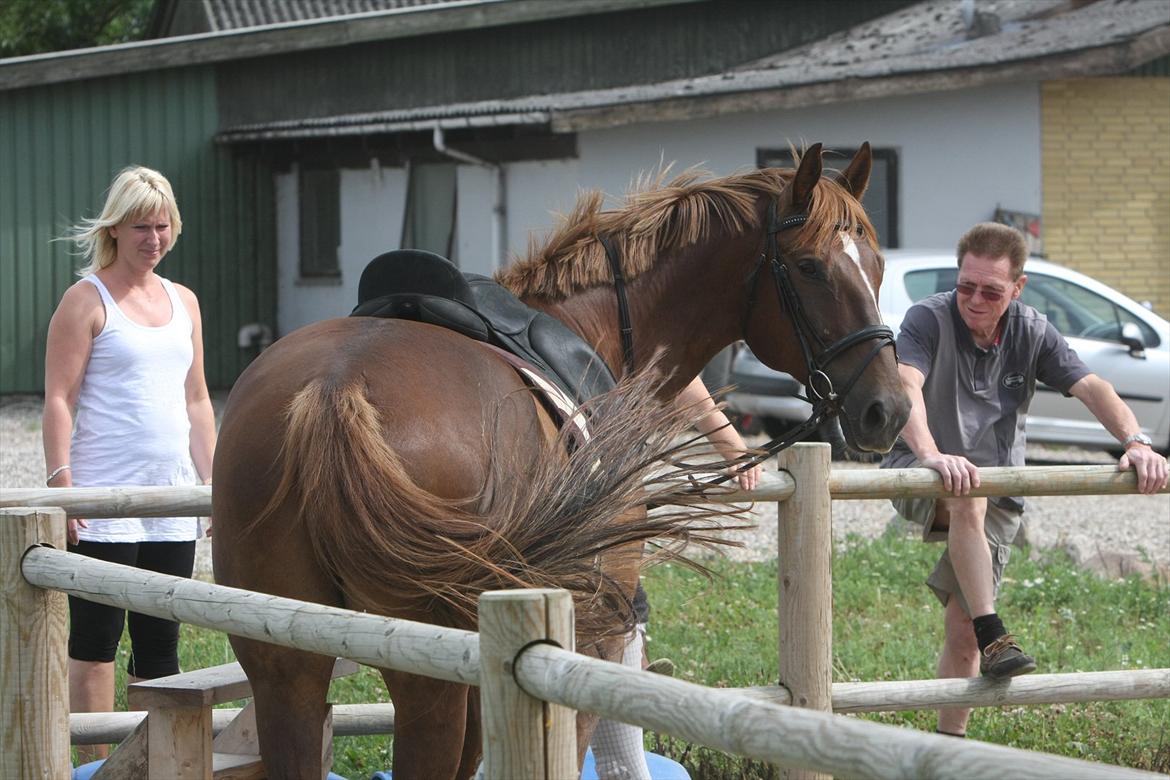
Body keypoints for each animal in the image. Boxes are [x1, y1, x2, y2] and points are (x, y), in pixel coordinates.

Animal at [212, 143, 912, 776]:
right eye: (810, 267)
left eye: (878, 266)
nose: (889, 409)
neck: (598, 329)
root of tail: (334, 391)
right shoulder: (590, 638)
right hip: (422, 676)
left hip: (285, 664)